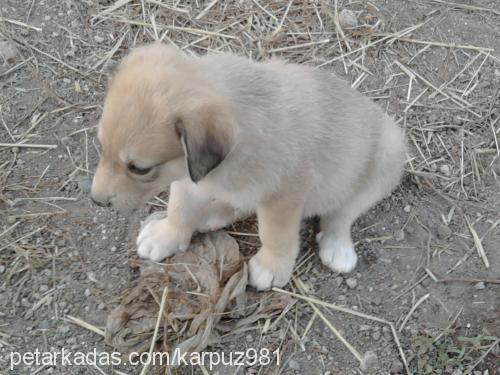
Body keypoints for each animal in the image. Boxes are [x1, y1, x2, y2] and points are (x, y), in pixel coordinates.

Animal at [92, 43, 406, 290]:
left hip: (387, 160)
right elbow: (180, 210)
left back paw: (337, 245)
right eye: (101, 148)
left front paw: (272, 266)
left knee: (343, 213)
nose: (96, 201)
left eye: (139, 169)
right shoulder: (188, 180)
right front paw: (165, 235)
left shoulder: (283, 196)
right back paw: (213, 214)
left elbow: (275, 235)